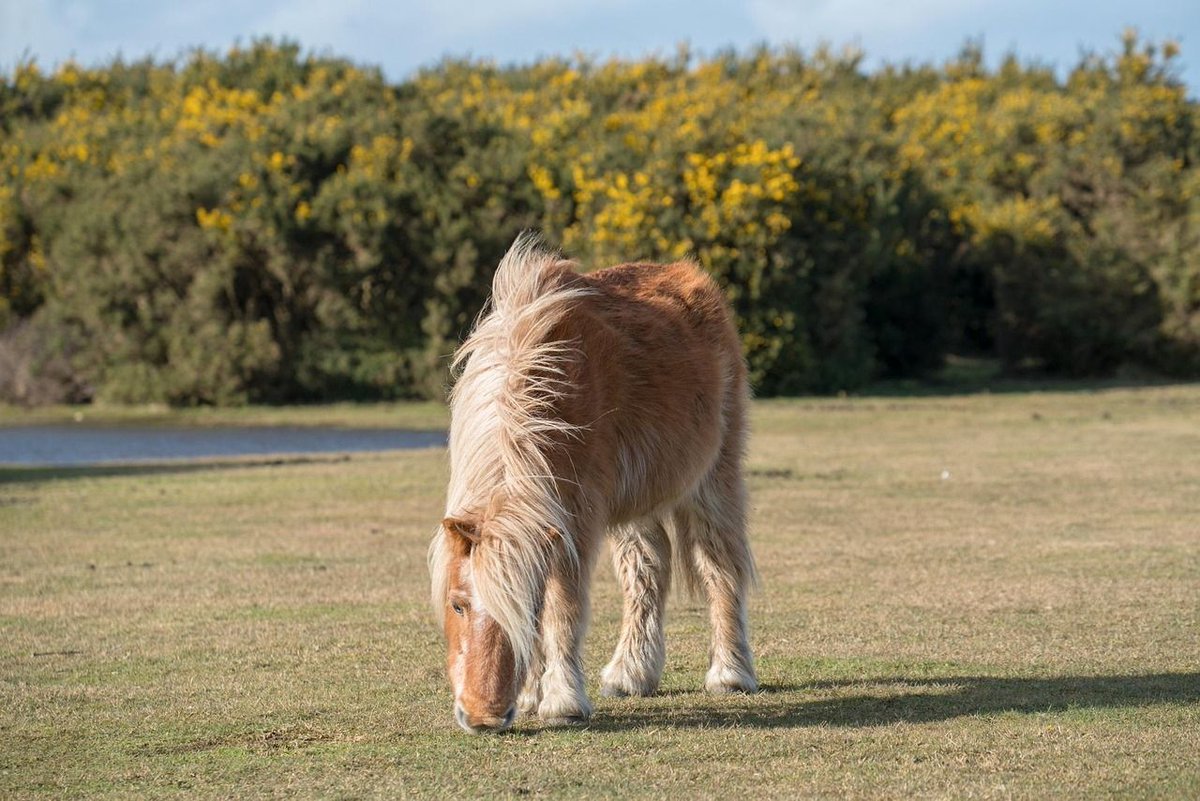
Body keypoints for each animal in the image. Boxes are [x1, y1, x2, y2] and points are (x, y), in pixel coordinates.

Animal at [428, 233, 758, 733]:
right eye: (458, 604)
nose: (484, 717)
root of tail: (688, 275)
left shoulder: (577, 519)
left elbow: (561, 608)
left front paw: (562, 701)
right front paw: (532, 695)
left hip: (712, 481)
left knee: (719, 563)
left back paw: (730, 673)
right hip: (634, 500)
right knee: (649, 568)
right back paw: (631, 674)